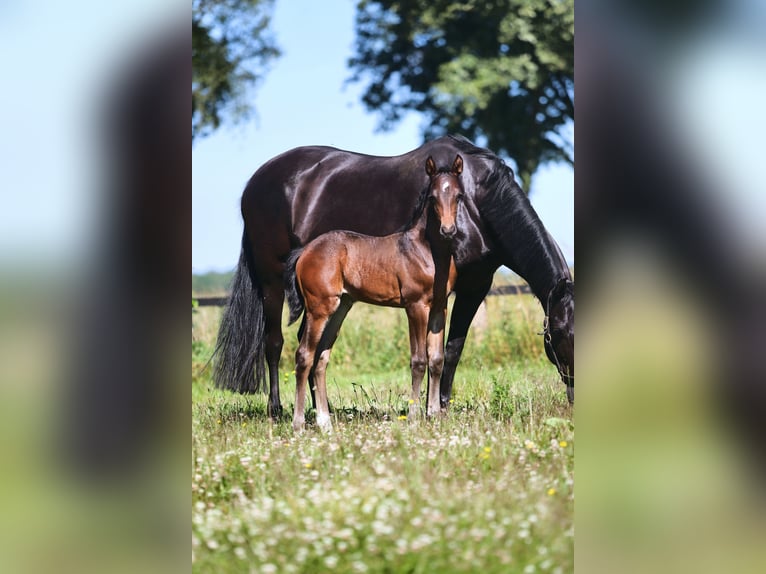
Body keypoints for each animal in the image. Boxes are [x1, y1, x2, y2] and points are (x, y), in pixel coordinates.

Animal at [282, 155, 462, 430]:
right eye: (432, 197)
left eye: (459, 195)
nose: (448, 230)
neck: (427, 251)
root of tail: (305, 251)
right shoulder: (415, 306)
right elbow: (419, 360)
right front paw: (413, 417)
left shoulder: (439, 307)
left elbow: (436, 359)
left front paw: (433, 415)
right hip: (319, 308)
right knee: (304, 355)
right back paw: (299, 424)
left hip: (340, 308)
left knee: (321, 358)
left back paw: (325, 423)